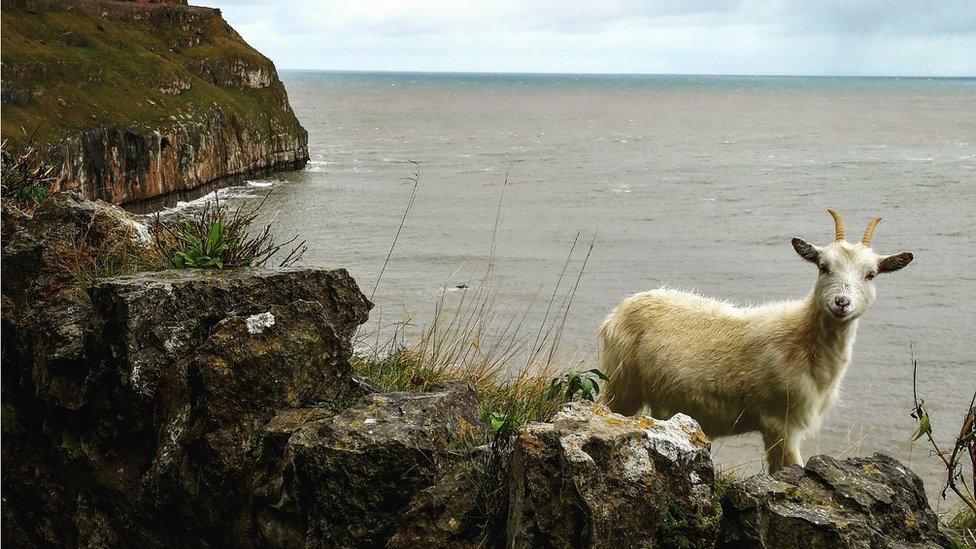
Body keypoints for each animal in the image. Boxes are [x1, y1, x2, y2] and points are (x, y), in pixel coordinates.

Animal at [604, 210, 916, 470]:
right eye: (823, 267)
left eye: (871, 274)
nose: (841, 303)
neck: (803, 340)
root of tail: (620, 308)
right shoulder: (780, 422)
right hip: (621, 384)